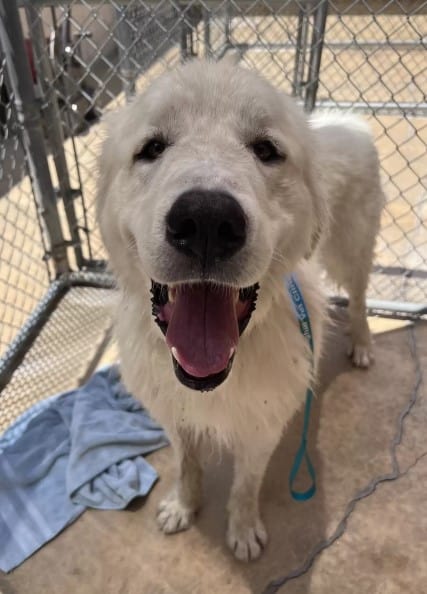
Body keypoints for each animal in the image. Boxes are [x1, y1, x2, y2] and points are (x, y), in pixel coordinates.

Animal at [97, 56, 384, 560]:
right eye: (152, 148)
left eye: (266, 150)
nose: (207, 220)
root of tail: (343, 119)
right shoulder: (175, 414)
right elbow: (186, 464)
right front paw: (182, 507)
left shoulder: (261, 427)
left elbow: (245, 485)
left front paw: (244, 529)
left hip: (350, 247)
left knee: (359, 295)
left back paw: (364, 343)